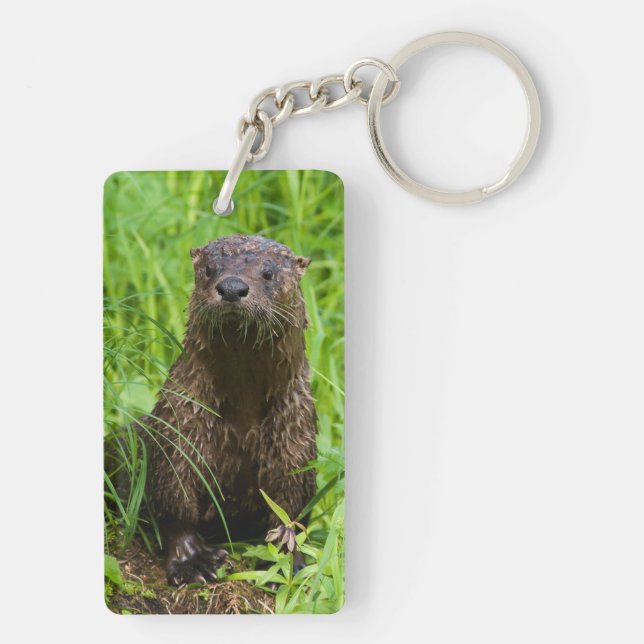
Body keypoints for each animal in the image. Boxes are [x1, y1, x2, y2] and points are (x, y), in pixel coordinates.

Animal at [140, 235, 317, 585]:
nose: (233, 287)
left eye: (268, 273)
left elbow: (291, 509)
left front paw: (288, 563)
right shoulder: (178, 426)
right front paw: (193, 561)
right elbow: (173, 501)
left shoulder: (297, 436)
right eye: (209, 269)